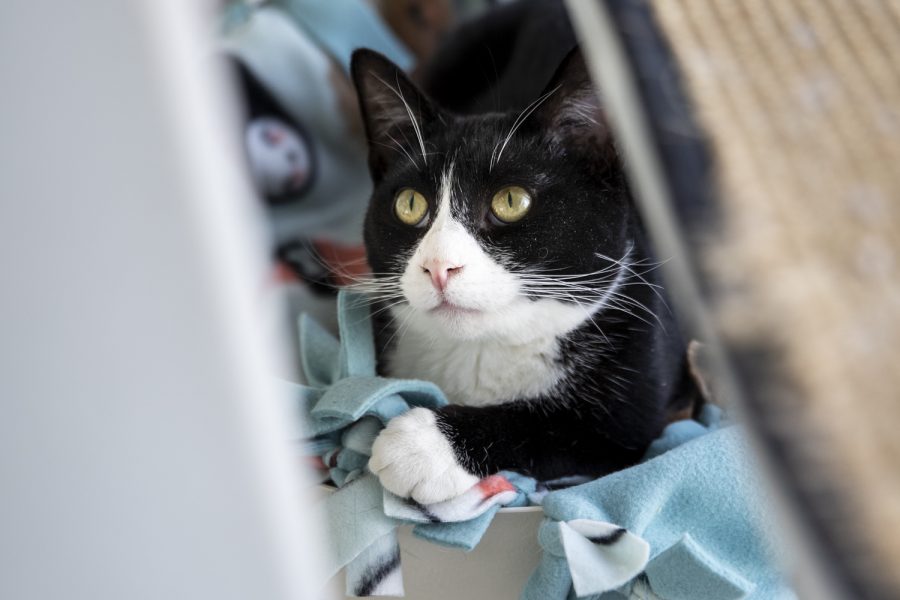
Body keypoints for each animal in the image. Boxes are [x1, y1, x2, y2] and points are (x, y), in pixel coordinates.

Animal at [348, 36, 692, 506]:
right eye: (410, 204)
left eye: (511, 201)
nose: (439, 266)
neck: (482, 351)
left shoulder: (634, 408)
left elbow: (557, 429)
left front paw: (422, 446)